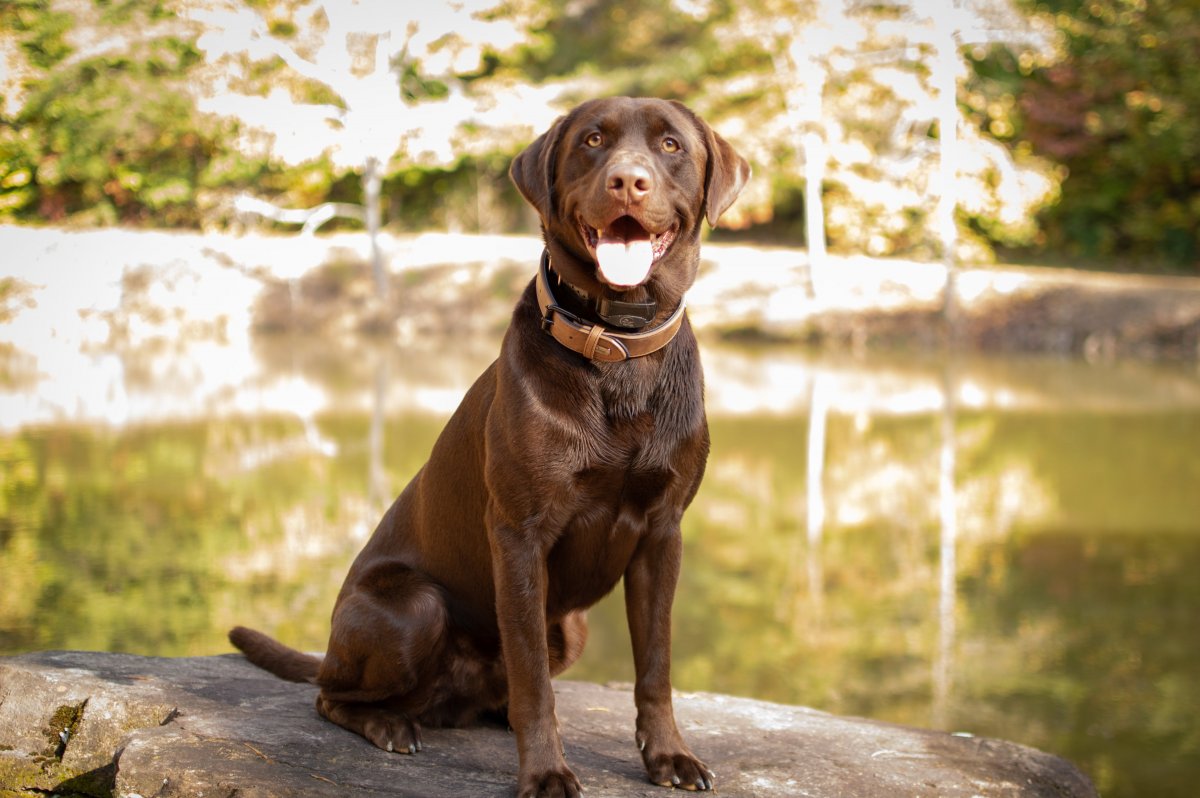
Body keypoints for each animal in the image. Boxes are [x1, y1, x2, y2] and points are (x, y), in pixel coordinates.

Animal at [228, 97, 744, 796]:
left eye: (670, 145)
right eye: (592, 141)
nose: (627, 181)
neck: (615, 347)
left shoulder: (662, 534)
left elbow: (655, 666)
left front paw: (669, 756)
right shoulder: (521, 534)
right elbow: (533, 683)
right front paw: (546, 771)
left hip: (570, 627)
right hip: (414, 609)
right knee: (332, 697)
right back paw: (390, 725)